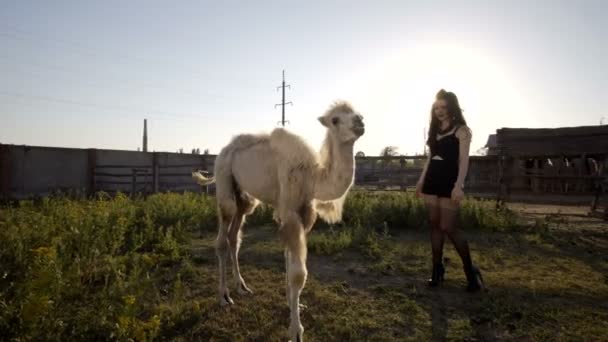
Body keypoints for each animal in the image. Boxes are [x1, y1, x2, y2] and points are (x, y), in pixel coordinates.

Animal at [192, 102, 364, 342]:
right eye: (335, 119)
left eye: (357, 112)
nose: (360, 123)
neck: (311, 176)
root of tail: (223, 151)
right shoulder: (290, 212)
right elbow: (298, 274)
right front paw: (296, 331)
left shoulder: (304, 214)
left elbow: (288, 259)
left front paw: (295, 305)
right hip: (225, 183)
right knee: (221, 239)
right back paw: (224, 297)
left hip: (244, 198)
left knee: (234, 237)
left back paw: (242, 287)